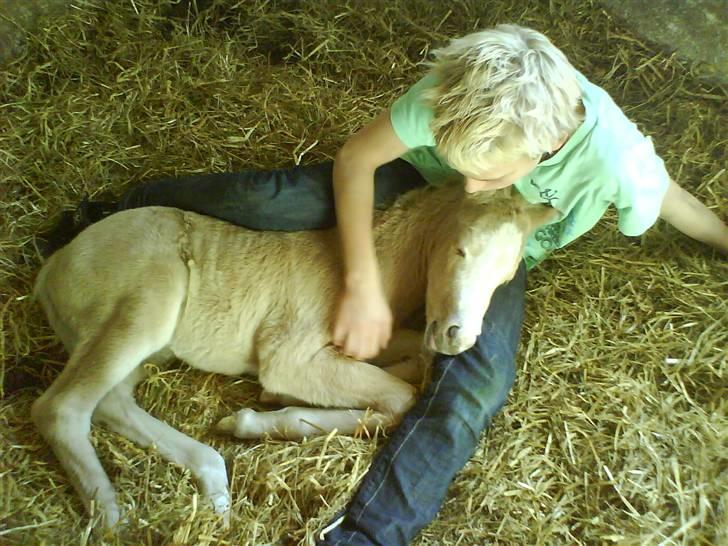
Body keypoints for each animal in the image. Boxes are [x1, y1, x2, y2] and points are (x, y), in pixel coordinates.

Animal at [32, 183, 556, 524]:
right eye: (459, 250)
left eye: (507, 273)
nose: (456, 336)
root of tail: (52, 267)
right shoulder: (289, 354)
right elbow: (398, 396)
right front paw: (262, 414)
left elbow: (409, 369)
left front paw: (263, 413)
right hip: (148, 299)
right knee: (61, 407)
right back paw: (114, 518)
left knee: (112, 401)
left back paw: (214, 483)